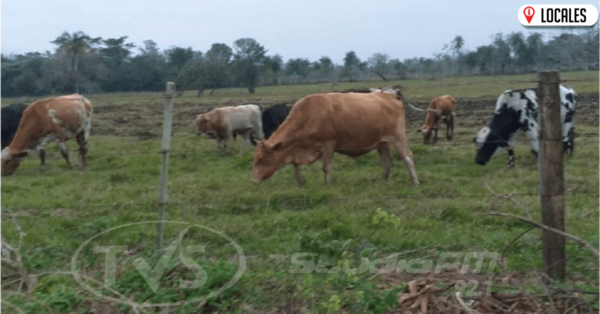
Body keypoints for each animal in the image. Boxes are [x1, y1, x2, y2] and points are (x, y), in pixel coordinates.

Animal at [251, 91, 420, 185]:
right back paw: (384, 181)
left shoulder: (328, 144)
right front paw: (301, 181)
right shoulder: (296, 149)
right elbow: (295, 165)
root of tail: (390, 95)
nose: (254, 181)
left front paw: (327, 185)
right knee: (387, 161)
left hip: (398, 137)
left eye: (261, 159)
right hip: (382, 142)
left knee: (407, 157)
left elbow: (326, 167)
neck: (307, 115)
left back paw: (415, 181)